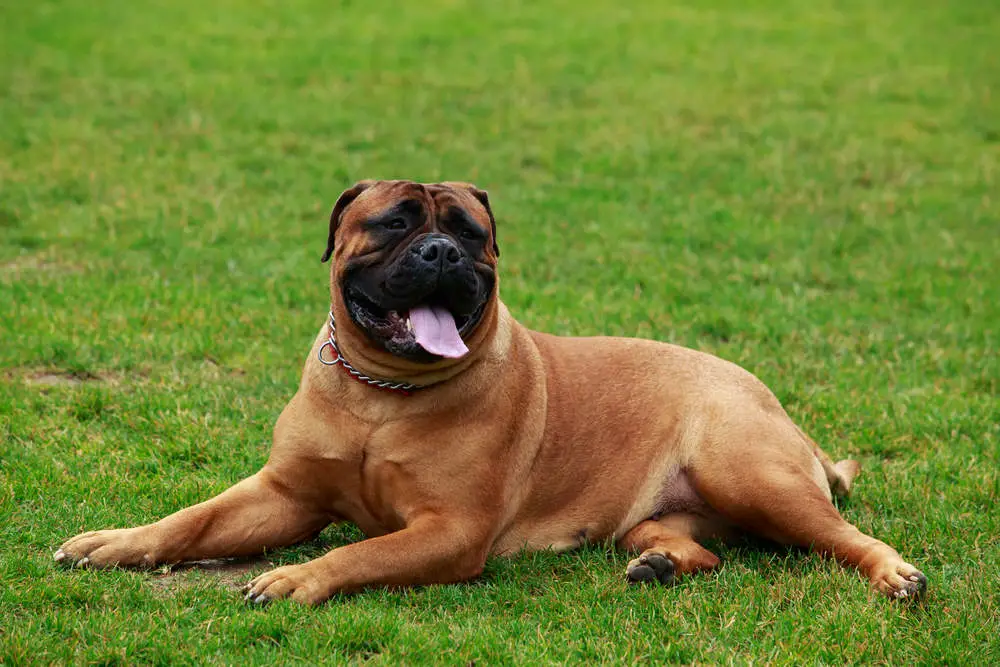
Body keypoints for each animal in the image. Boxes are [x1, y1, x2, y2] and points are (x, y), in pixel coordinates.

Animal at [54, 179, 928, 604]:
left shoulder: (451, 530)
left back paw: (895, 575)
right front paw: (114, 542)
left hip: (752, 472)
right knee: (696, 546)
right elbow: (192, 519)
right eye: (395, 221)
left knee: (844, 536)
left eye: (471, 233)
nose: (442, 251)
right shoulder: (282, 493)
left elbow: (363, 551)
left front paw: (299, 579)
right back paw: (659, 565)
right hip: (672, 510)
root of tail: (775, 404)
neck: (381, 393)